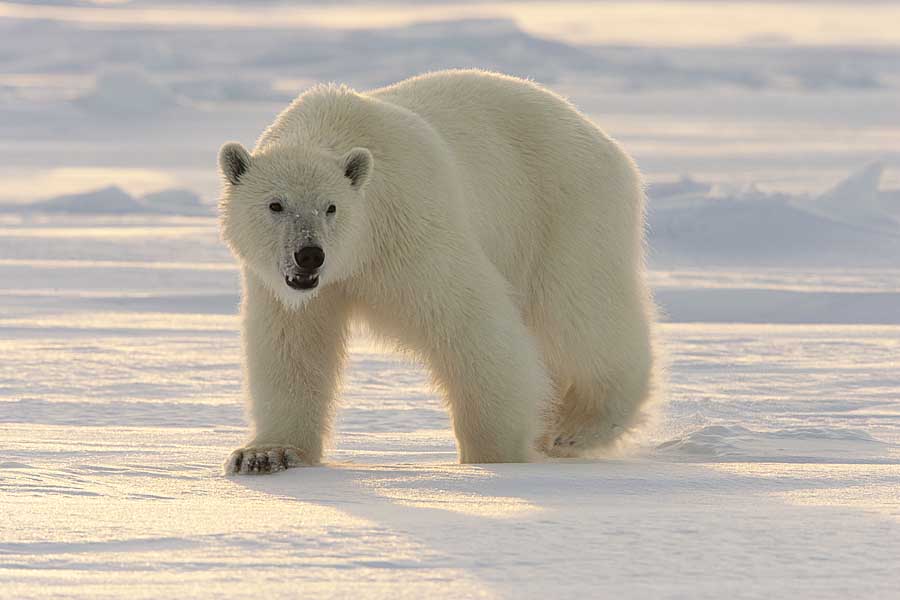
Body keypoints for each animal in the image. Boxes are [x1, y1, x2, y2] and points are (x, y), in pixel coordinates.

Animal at [217, 70, 652, 474]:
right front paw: (265, 454)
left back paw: (573, 426)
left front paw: (494, 457)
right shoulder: (290, 289)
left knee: (581, 316)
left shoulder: (412, 232)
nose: (309, 255)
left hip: (565, 209)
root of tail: (600, 135)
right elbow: (292, 348)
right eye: (275, 205)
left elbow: (471, 326)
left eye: (331, 207)